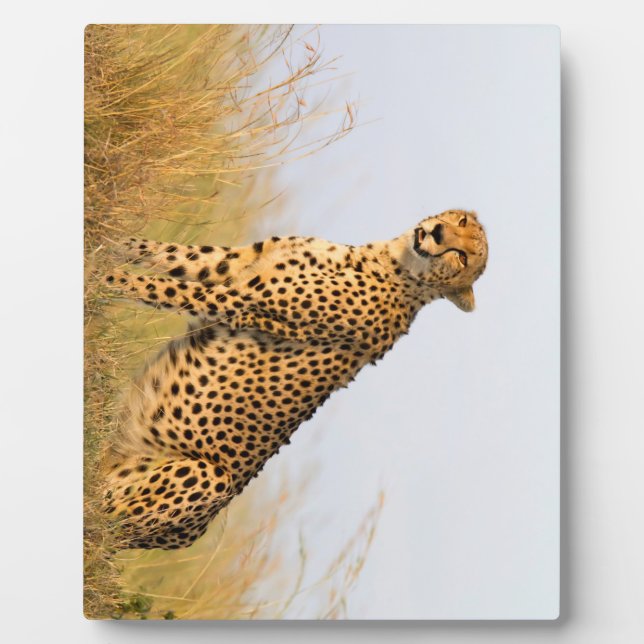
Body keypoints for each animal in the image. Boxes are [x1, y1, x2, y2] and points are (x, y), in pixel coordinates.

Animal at [100, 209, 488, 549]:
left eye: (461, 258)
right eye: (460, 221)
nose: (438, 233)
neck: (393, 261)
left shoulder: (241, 301)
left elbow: (162, 288)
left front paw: (103, 276)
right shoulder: (229, 265)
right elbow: (157, 251)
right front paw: (107, 241)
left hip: (206, 479)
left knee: (100, 518)